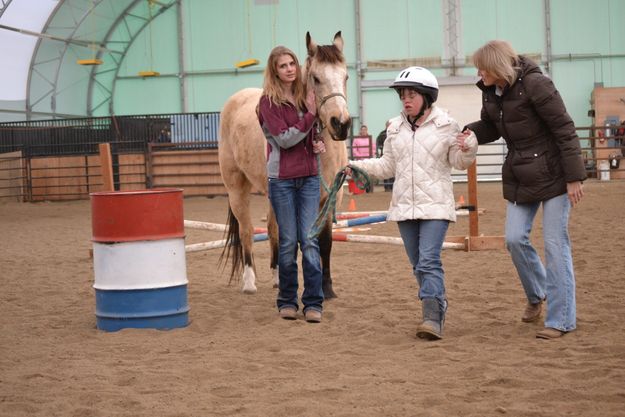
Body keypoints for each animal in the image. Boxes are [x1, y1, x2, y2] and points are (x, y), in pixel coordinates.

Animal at [217, 30, 348, 298]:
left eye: (346, 76)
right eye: (316, 78)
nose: (340, 124)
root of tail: (236, 99)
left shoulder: (331, 197)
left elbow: (325, 242)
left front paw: (327, 289)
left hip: (272, 193)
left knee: (274, 230)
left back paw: (278, 278)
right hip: (237, 190)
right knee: (247, 231)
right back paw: (249, 282)